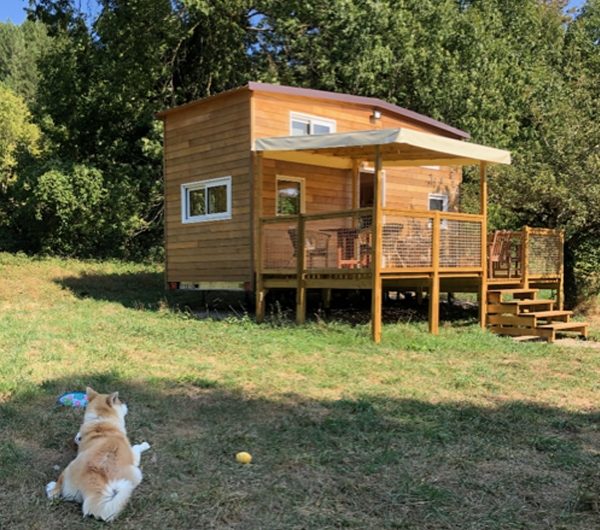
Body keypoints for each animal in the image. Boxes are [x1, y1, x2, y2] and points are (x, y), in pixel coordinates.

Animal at [46, 386, 151, 516]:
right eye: (119, 401)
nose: (126, 404)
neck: (101, 420)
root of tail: (91, 489)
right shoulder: (134, 457)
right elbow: (136, 447)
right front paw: (145, 445)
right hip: (136, 473)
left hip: (69, 468)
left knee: (54, 493)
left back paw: (51, 487)